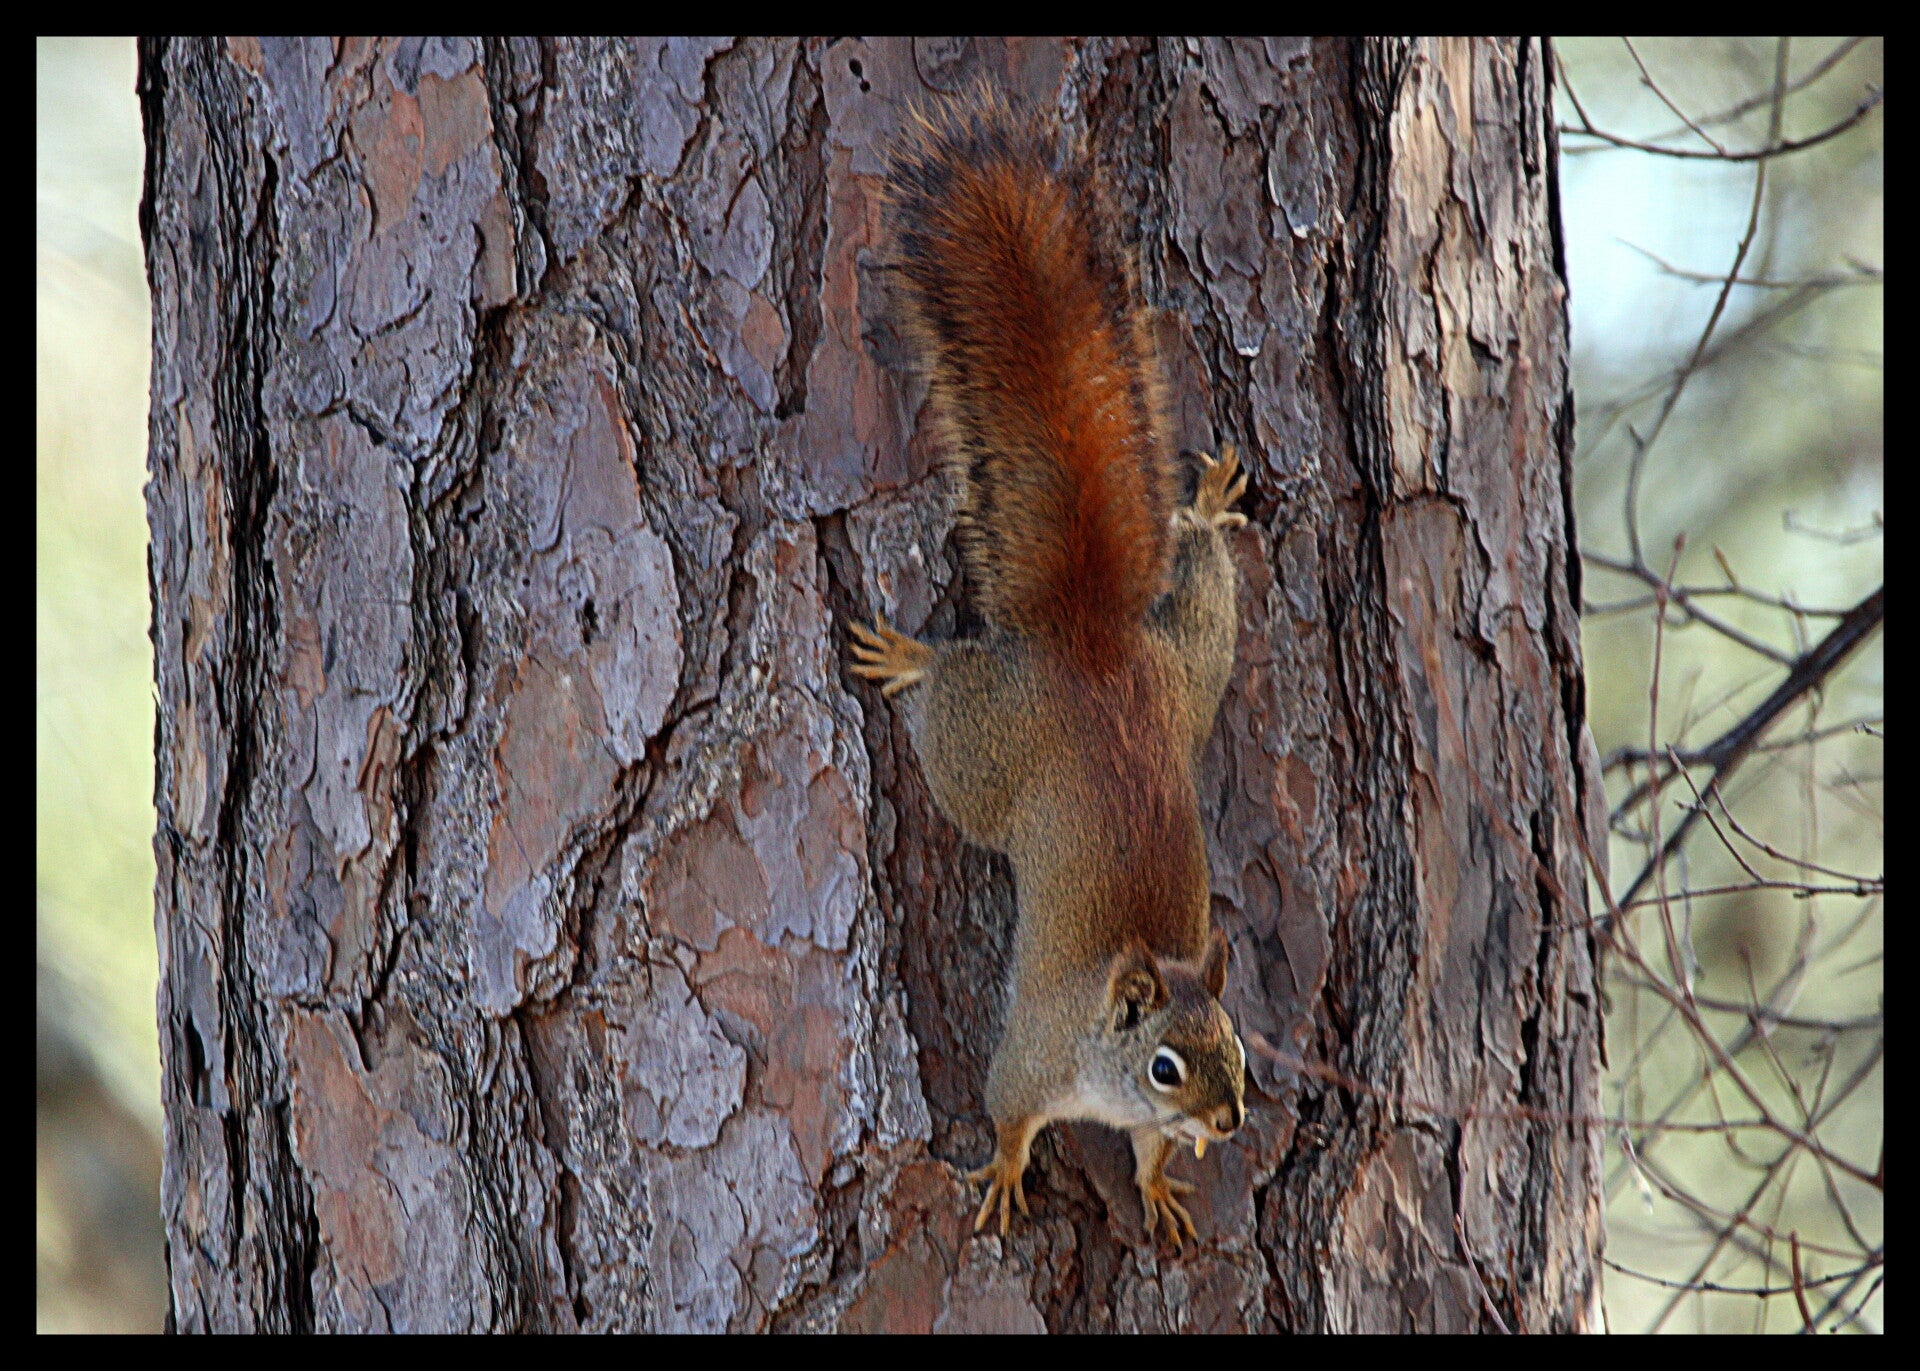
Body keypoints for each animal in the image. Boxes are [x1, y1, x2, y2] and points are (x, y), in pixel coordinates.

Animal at [849, 99, 1249, 1248]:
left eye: (1238, 1053)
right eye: (1166, 1065)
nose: (1230, 1124)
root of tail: (1089, 644)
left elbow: (1148, 1156)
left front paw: (1159, 1186)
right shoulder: (1032, 1060)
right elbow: (1008, 1111)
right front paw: (1001, 1171)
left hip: (1189, 672)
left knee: (1204, 584)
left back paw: (1207, 508)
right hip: (984, 757)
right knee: (949, 707)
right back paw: (912, 658)